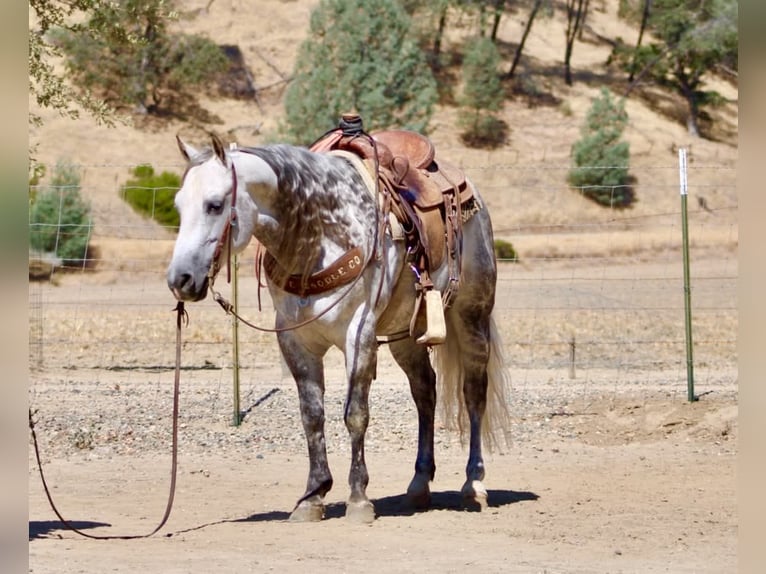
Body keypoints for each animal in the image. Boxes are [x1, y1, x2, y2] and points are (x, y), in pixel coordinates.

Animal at [167, 125, 511, 523]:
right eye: (178, 205)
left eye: (214, 205)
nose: (179, 279)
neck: (316, 235)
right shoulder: (295, 341)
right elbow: (312, 416)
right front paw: (312, 496)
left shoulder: (358, 334)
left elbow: (355, 414)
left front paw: (358, 498)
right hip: (405, 336)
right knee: (425, 391)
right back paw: (419, 484)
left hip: (472, 317)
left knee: (474, 394)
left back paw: (474, 484)